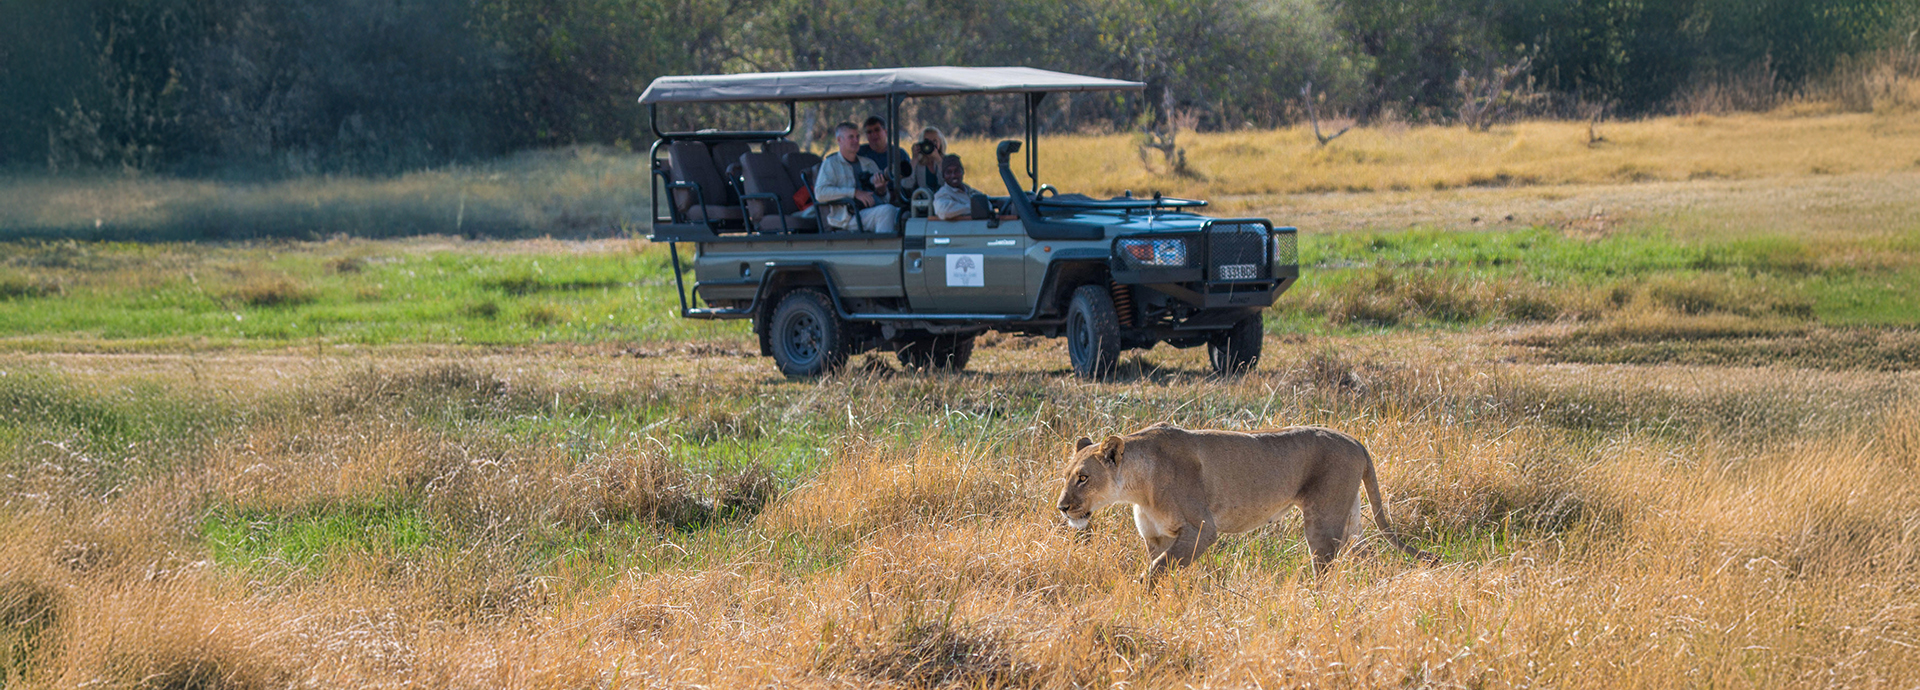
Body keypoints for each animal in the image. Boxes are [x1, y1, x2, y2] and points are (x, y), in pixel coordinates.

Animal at [1056, 422, 1437, 581]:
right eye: (1067, 475)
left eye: (1083, 478)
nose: (1062, 507)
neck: (1137, 487)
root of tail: (1355, 439)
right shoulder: (1156, 537)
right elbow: (1163, 567)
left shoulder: (1201, 528)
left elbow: (1158, 569)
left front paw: (1139, 593)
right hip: (1350, 517)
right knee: (1365, 552)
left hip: (1322, 519)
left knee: (1325, 565)